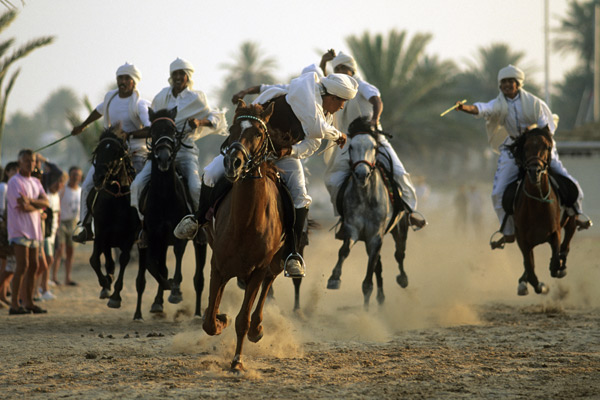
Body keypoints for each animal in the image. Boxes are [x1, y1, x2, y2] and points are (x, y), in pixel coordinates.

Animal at [88, 126, 139, 308]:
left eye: (117, 152)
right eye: (98, 151)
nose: (98, 178)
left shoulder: (129, 237)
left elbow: (123, 259)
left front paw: (115, 296)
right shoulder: (101, 232)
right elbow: (95, 260)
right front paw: (105, 284)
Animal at [135, 108, 209, 322]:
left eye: (173, 130)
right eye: (153, 131)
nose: (164, 158)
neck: (164, 198)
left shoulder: (178, 234)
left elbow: (177, 255)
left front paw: (175, 291)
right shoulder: (154, 236)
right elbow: (155, 266)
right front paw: (163, 291)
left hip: (199, 241)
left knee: (199, 279)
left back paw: (198, 313)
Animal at [203, 100, 284, 372]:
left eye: (258, 133)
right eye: (232, 128)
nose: (233, 163)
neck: (246, 223)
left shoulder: (257, 270)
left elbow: (243, 320)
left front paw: (237, 361)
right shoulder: (218, 266)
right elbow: (209, 319)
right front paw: (220, 319)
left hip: (276, 261)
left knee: (270, 280)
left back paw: (258, 328)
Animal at [326, 122, 410, 310]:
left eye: (374, 147)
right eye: (351, 147)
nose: (361, 174)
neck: (365, 196)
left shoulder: (375, 237)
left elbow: (368, 281)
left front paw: (366, 310)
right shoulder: (354, 229)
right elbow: (344, 250)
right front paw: (334, 278)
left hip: (399, 228)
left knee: (399, 253)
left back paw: (403, 279)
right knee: (379, 265)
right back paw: (381, 297)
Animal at [508, 126, 580, 296]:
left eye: (547, 147)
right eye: (526, 147)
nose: (535, 171)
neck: (537, 205)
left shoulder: (555, 233)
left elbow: (554, 263)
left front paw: (557, 266)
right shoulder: (522, 239)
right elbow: (530, 268)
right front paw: (538, 285)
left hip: (570, 219)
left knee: (567, 240)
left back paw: (562, 262)